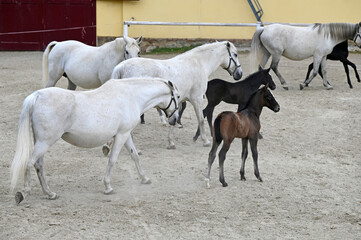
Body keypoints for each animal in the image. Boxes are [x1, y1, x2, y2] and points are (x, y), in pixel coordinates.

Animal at [10, 78, 179, 200]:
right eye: (177, 96)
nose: (175, 120)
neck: (132, 96)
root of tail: (37, 95)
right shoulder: (122, 135)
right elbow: (112, 159)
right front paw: (108, 187)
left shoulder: (125, 134)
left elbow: (134, 155)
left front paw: (144, 178)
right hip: (45, 142)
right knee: (30, 163)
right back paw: (24, 193)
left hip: (41, 142)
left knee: (39, 165)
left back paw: (49, 193)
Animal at [108, 41, 240, 150]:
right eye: (235, 54)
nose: (239, 73)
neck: (198, 63)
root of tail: (122, 66)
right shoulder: (197, 99)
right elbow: (201, 119)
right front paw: (205, 141)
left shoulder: (177, 101)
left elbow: (175, 120)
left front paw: (171, 142)